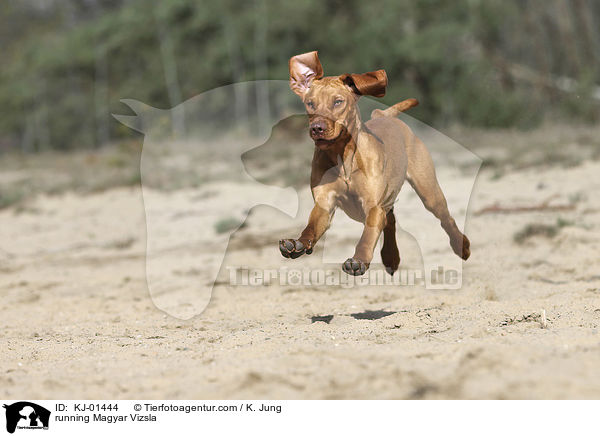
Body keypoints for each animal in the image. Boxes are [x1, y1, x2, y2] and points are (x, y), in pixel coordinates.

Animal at [278, 51, 472, 276]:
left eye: (338, 102)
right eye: (310, 103)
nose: (317, 128)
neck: (343, 157)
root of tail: (385, 115)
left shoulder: (372, 205)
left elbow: (367, 236)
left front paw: (359, 260)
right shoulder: (324, 203)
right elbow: (311, 226)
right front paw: (298, 243)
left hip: (428, 190)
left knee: (445, 218)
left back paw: (461, 246)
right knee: (391, 220)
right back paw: (391, 256)